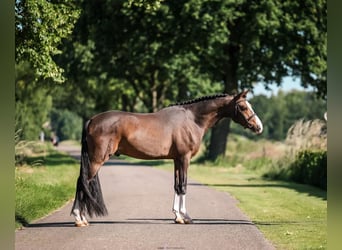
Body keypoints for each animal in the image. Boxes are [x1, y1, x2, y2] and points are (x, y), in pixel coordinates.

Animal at [71, 90, 262, 227]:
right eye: (243, 107)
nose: (258, 127)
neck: (192, 119)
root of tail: (92, 120)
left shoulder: (177, 159)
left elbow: (177, 186)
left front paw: (177, 216)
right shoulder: (185, 158)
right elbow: (184, 186)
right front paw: (186, 217)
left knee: (82, 182)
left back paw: (82, 218)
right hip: (97, 160)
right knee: (82, 182)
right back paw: (79, 219)